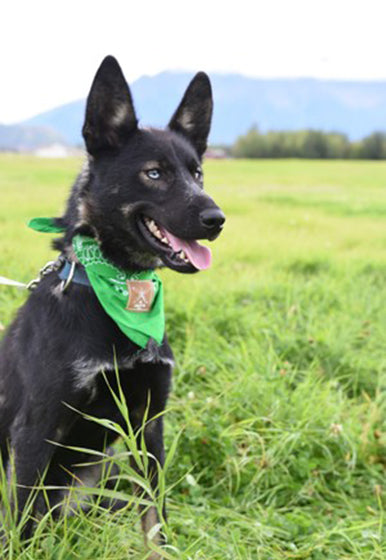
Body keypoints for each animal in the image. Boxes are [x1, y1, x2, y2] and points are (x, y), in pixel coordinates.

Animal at [0, 54, 225, 552]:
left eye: (197, 173)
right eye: (154, 173)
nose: (217, 219)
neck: (122, 290)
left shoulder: (149, 424)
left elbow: (155, 516)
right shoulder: (36, 427)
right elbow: (21, 526)